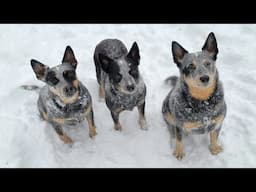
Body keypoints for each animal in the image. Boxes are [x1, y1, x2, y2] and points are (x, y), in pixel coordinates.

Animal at [162, 32, 226, 160]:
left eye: (208, 63)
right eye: (191, 66)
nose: (205, 78)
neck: (204, 103)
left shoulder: (218, 123)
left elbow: (214, 136)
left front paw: (214, 148)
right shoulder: (179, 125)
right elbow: (179, 139)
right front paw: (178, 152)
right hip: (166, 111)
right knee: (171, 129)